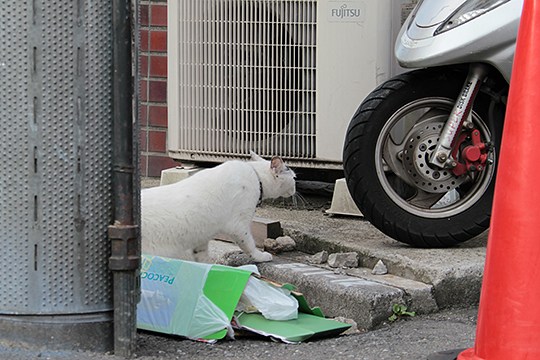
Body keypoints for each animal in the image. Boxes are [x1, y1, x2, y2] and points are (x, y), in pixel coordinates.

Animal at [141, 150, 296, 262]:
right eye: (294, 177)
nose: (296, 185)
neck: (256, 176)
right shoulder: (239, 225)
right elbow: (249, 244)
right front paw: (261, 256)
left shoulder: (201, 237)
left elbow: (201, 256)